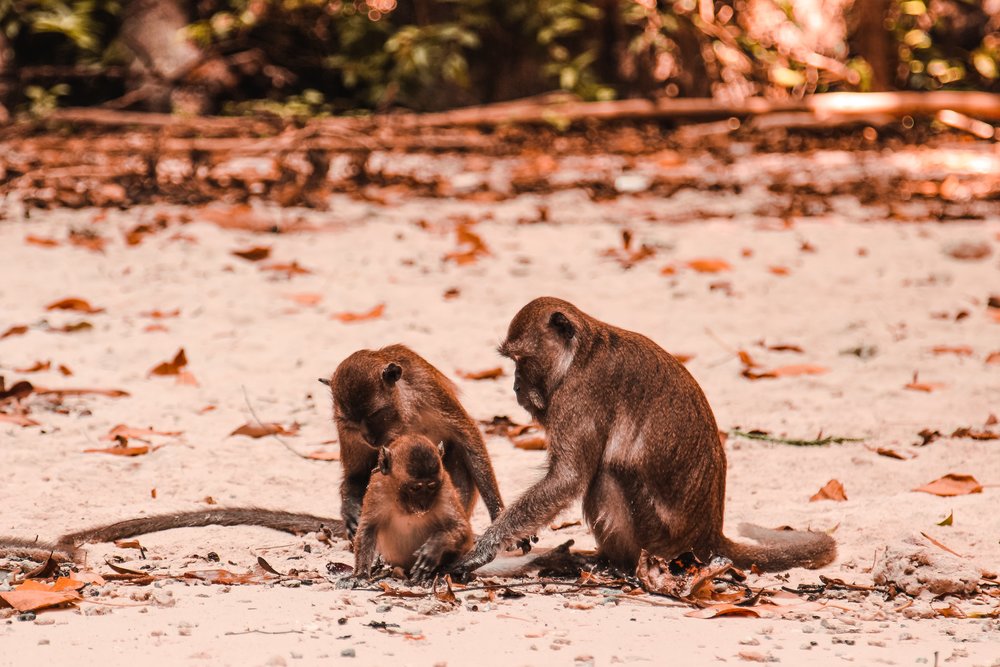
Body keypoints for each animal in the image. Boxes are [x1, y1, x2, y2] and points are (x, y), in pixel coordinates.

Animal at [322, 344, 504, 539]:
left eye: (374, 414)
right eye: (352, 423)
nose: (369, 438)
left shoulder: (428, 388)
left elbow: (468, 439)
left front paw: (497, 515)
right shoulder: (345, 429)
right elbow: (356, 473)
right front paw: (350, 508)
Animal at [352, 434, 473, 581]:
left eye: (432, 486)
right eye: (415, 488)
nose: (423, 504)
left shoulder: (445, 488)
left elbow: (463, 529)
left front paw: (434, 546)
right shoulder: (377, 489)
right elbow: (368, 528)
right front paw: (361, 574)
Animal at [451, 296, 836, 577]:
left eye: (522, 360)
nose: (515, 386)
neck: (582, 352)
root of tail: (709, 536)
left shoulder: (579, 396)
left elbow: (568, 478)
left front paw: (486, 547)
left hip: (661, 539)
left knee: (606, 475)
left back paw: (618, 564)